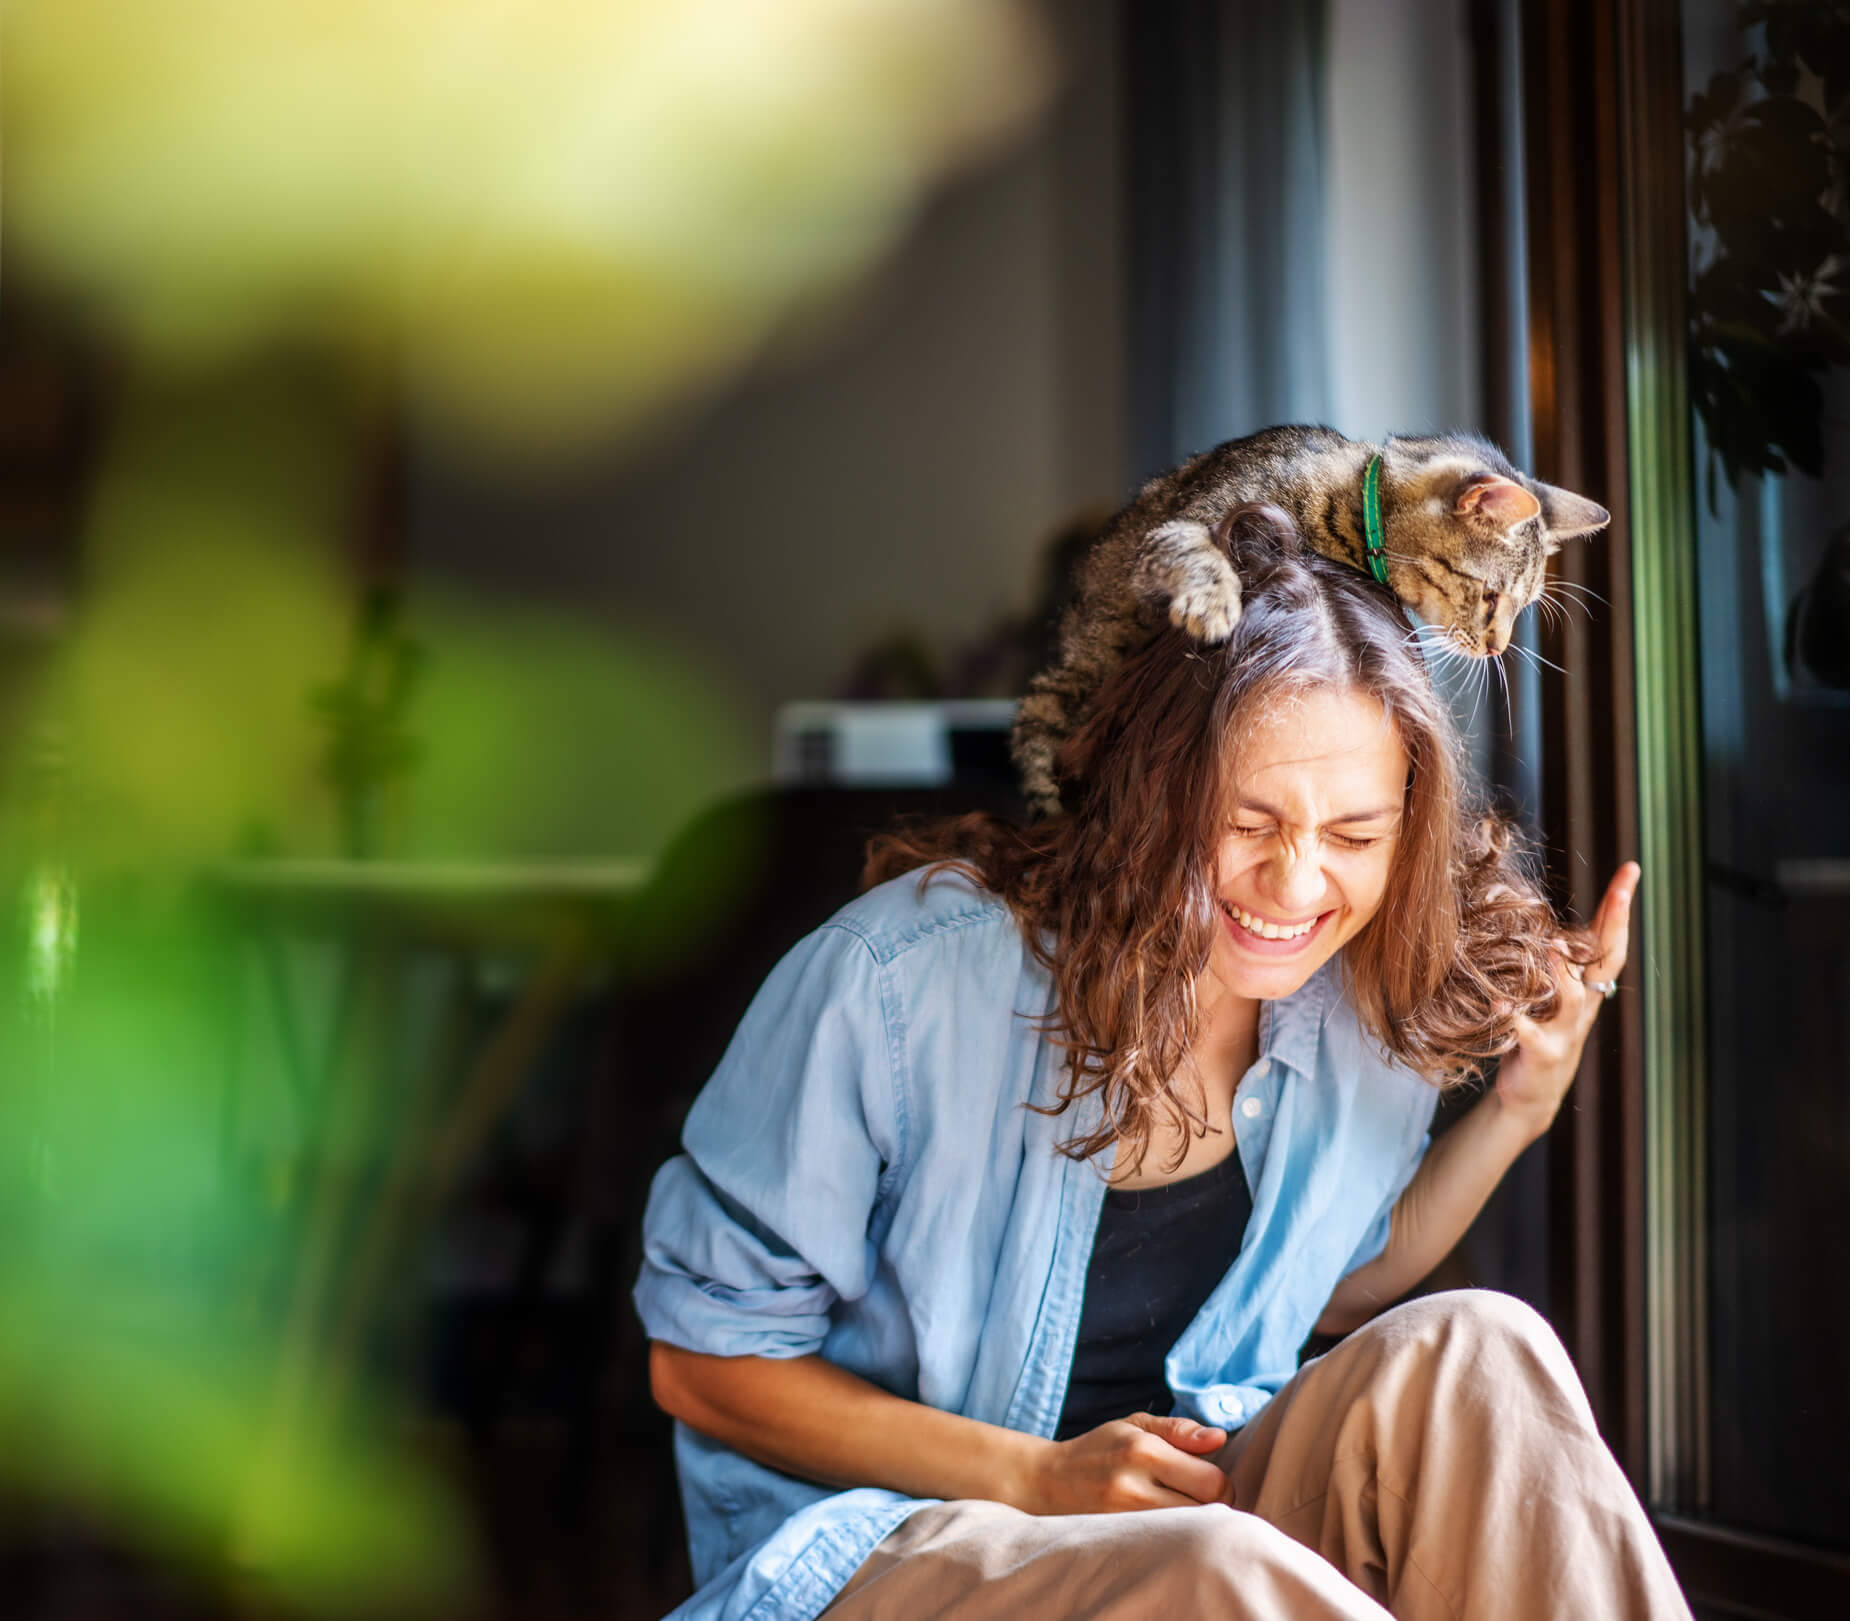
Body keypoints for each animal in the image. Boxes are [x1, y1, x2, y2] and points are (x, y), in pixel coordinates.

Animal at [1013, 423, 1605, 817]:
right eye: (1490, 596)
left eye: (1521, 606)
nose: (1496, 647)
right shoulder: (1177, 526)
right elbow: (1190, 547)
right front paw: (1212, 602)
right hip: (1051, 705)